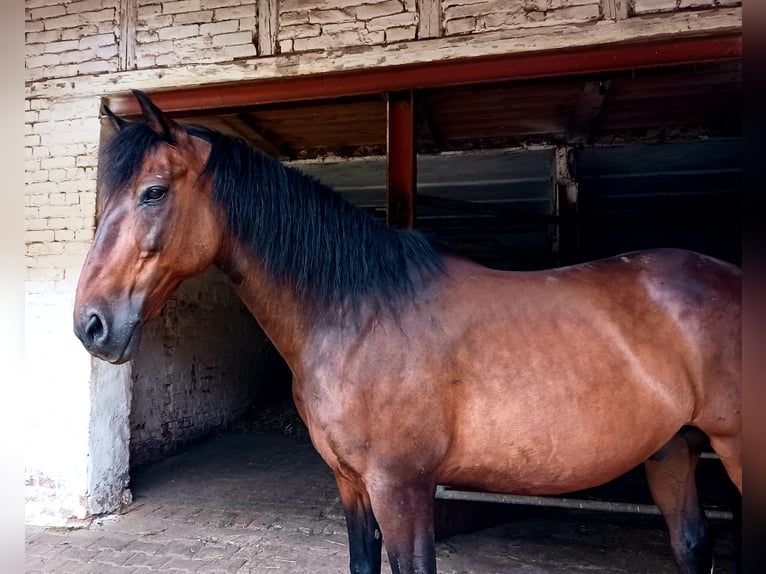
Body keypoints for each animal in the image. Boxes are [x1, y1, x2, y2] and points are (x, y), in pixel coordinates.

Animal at [75, 92, 740, 572]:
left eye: (154, 192)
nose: (91, 325)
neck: (358, 315)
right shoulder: (352, 486)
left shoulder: (403, 488)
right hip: (672, 450)